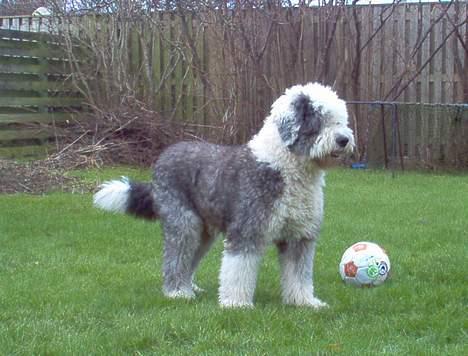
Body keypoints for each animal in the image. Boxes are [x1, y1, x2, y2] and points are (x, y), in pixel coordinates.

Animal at [93, 83, 352, 308]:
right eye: (319, 118)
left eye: (340, 119)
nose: (344, 140)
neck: (285, 168)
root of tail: (164, 156)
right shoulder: (247, 230)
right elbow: (239, 269)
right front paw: (236, 304)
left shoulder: (299, 236)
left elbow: (299, 274)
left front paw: (304, 302)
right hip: (183, 222)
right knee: (175, 257)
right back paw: (177, 292)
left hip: (204, 233)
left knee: (190, 259)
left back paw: (190, 287)